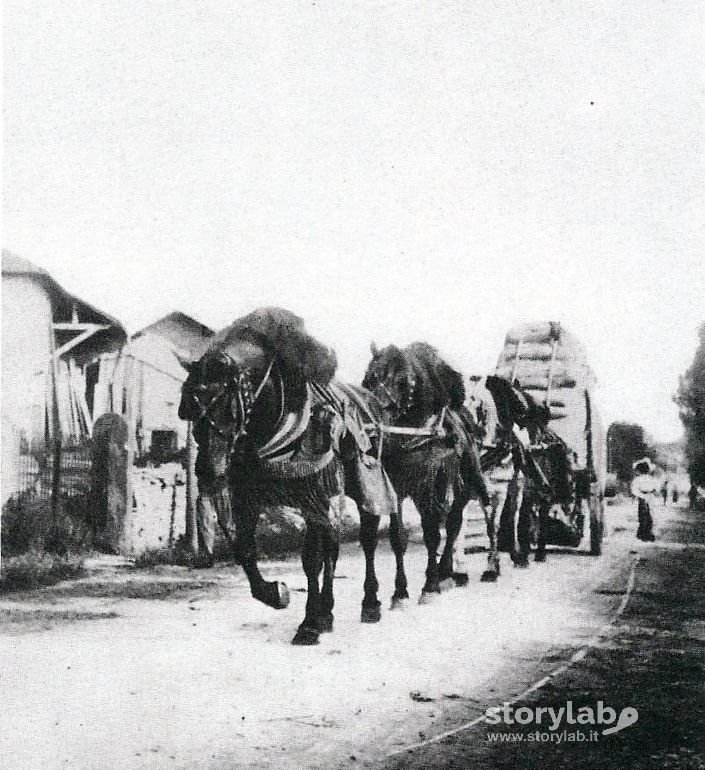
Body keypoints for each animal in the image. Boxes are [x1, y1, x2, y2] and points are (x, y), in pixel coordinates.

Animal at [176, 306, 396, 640]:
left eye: (225, 404)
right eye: (190, 405)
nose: (207, 471)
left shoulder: (313, 495)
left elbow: (311, 560)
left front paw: (308, 624)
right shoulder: (247, 496)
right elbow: (245, 551)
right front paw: (275, 593)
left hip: (364, 482)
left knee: (367, 539)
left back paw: (370, 603)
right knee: (332, 549)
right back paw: (328, 611)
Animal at [360, 338, 492, 600]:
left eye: (404, 382)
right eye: (370, 378)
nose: (374, 421)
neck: (414, 436)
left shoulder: (434, 482)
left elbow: (433, 533)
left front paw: (430, 585)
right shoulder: (395, 486)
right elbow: (398, 537)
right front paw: (399, 591)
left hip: (465, 482)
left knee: (457, 521)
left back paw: (470, 569)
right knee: (453, 523)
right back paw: (448, 571)